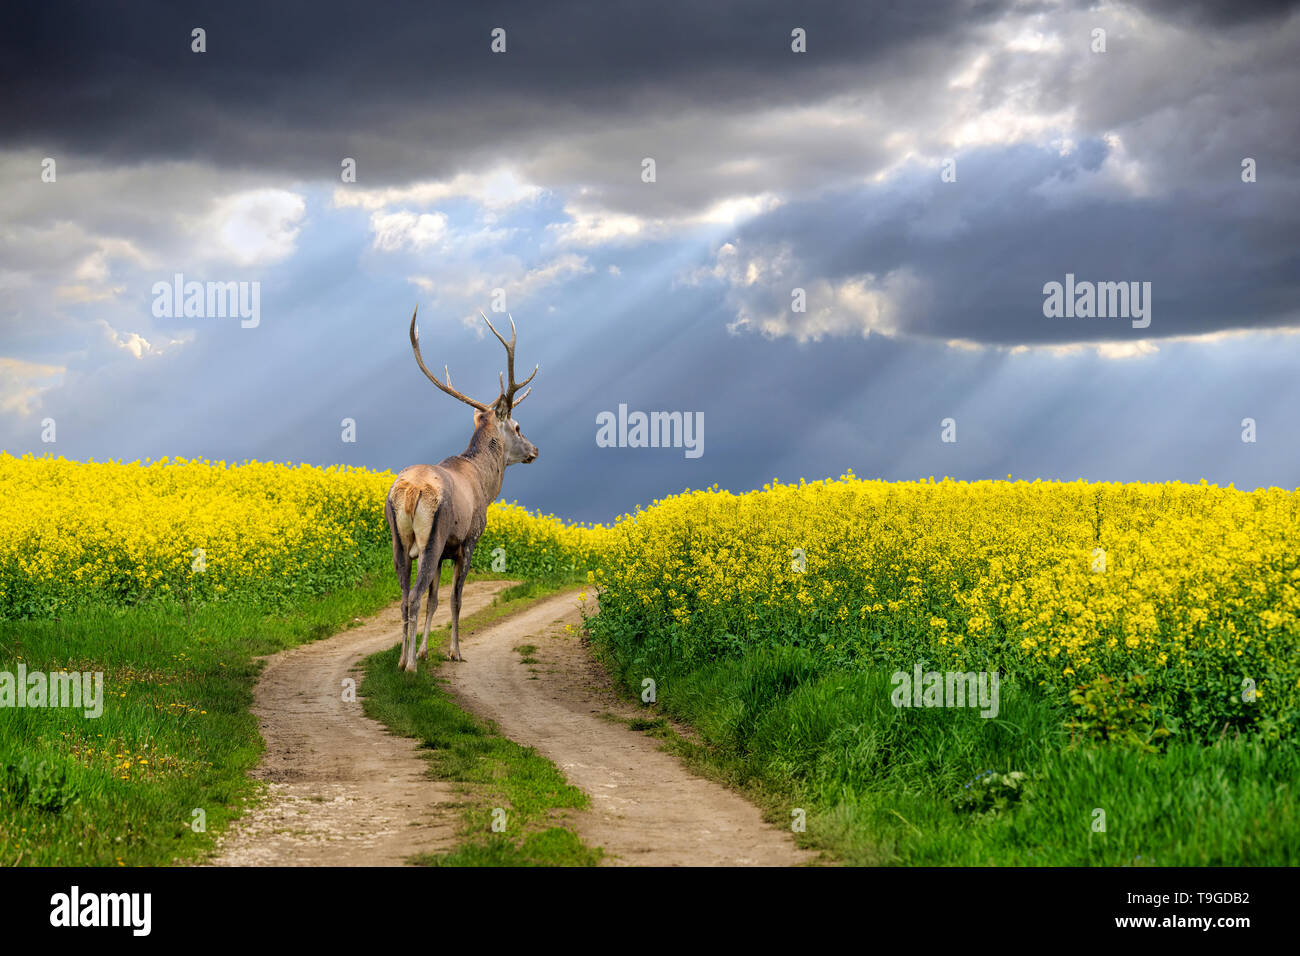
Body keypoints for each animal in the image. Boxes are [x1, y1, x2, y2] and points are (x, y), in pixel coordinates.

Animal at [386, 306, 539, 671]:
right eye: (517, 426)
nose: (535, 450)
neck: (485, 486)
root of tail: (410, 493)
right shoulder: (466, 542)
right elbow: (455, 600)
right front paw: (453, 651)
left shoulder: (444, 552)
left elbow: (435, 600)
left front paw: (424, 651)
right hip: (434, 535)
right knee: (413, 598)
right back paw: (409, 667)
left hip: (399, 540)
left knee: (403, 597)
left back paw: (401, 660)